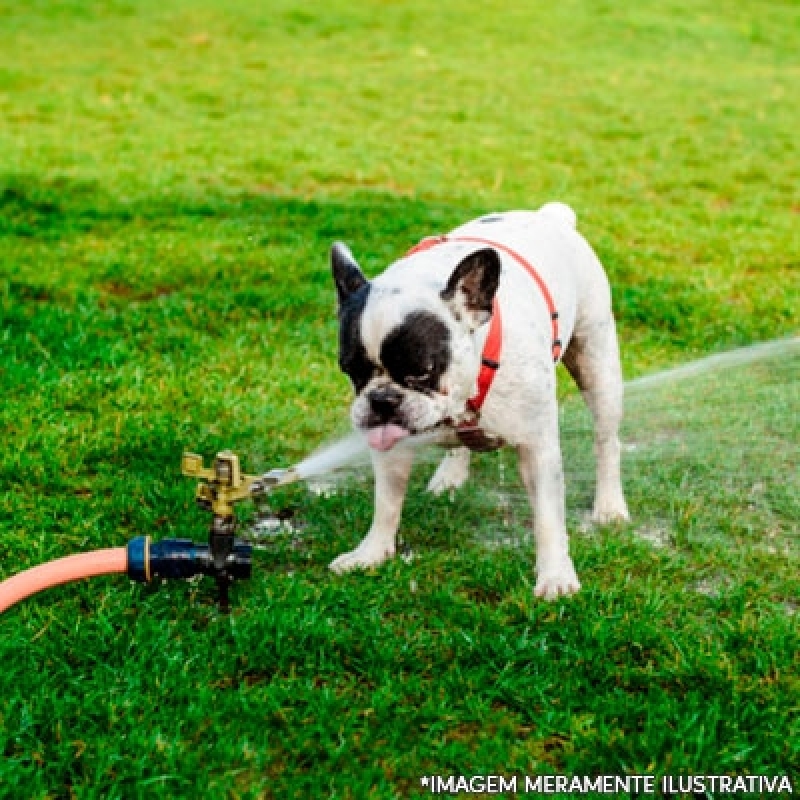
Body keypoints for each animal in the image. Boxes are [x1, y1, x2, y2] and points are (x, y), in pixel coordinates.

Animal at [328, 203, 628, 596]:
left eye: (422, 371)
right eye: (350, 369)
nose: (381, 400)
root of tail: (550, 215)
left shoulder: (537, 448)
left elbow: (548, 517)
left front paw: (556, 576)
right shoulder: (391, 447)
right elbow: (387, 503)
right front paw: (371, 553)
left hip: (598, 366)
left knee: (606, 441)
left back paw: (609, 507)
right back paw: (450, 475)